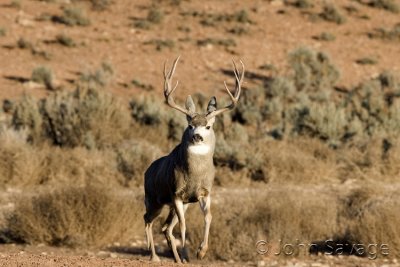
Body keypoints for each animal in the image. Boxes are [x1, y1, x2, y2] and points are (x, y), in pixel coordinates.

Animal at [144, 57, 244, 264]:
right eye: (190, 125)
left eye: (208, 126)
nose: (197, 136)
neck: (194, 174)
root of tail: (147, 171)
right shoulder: (176, 193)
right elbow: (183, 226)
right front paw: (186, 252)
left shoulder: (203, 193)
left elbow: (209, 217)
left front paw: (201, 252)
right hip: (154, 199)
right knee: (148, 220)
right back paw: (155, 256)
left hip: (177, 204)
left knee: (165, 228)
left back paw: (176, 259)